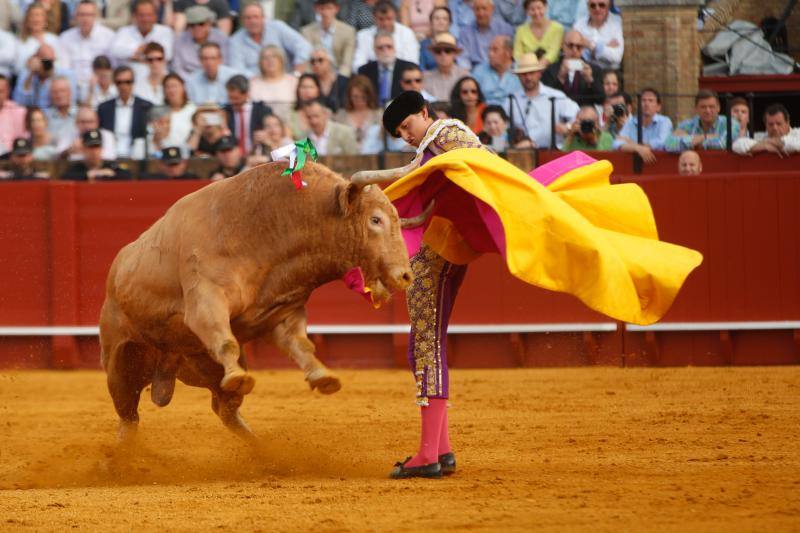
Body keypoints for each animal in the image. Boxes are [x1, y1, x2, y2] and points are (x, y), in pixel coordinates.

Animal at [100, 160, 412, 442]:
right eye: (375, 219)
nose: (406, 275)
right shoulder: (205, 300)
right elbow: (225, 339)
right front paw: (238, 376)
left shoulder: (279, 311)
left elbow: (300, 345)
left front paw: (323, 377)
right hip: (120, 362)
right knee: (128, 417)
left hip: (199, 364)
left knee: (225, 410)